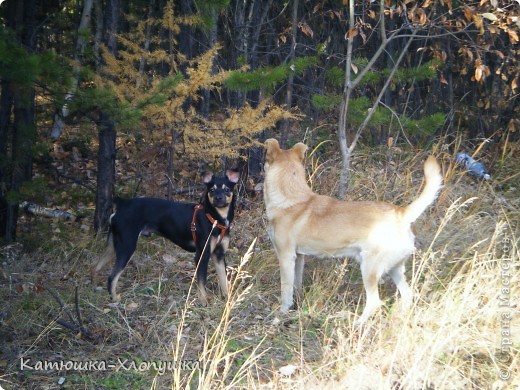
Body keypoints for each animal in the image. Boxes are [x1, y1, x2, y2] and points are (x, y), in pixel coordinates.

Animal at [92, 171, 239, 304]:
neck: (215, 218)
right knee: (112, 277)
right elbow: (202, 284)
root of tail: (123, 203)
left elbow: (224, 280)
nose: (219, 198)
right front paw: (203, 303)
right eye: (212, 190)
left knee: (97, 267)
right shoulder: (202, 256)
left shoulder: (219, 255)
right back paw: (115, 299)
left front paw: (227, 300)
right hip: (127, 246)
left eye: (227, 189)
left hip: (114, 245)